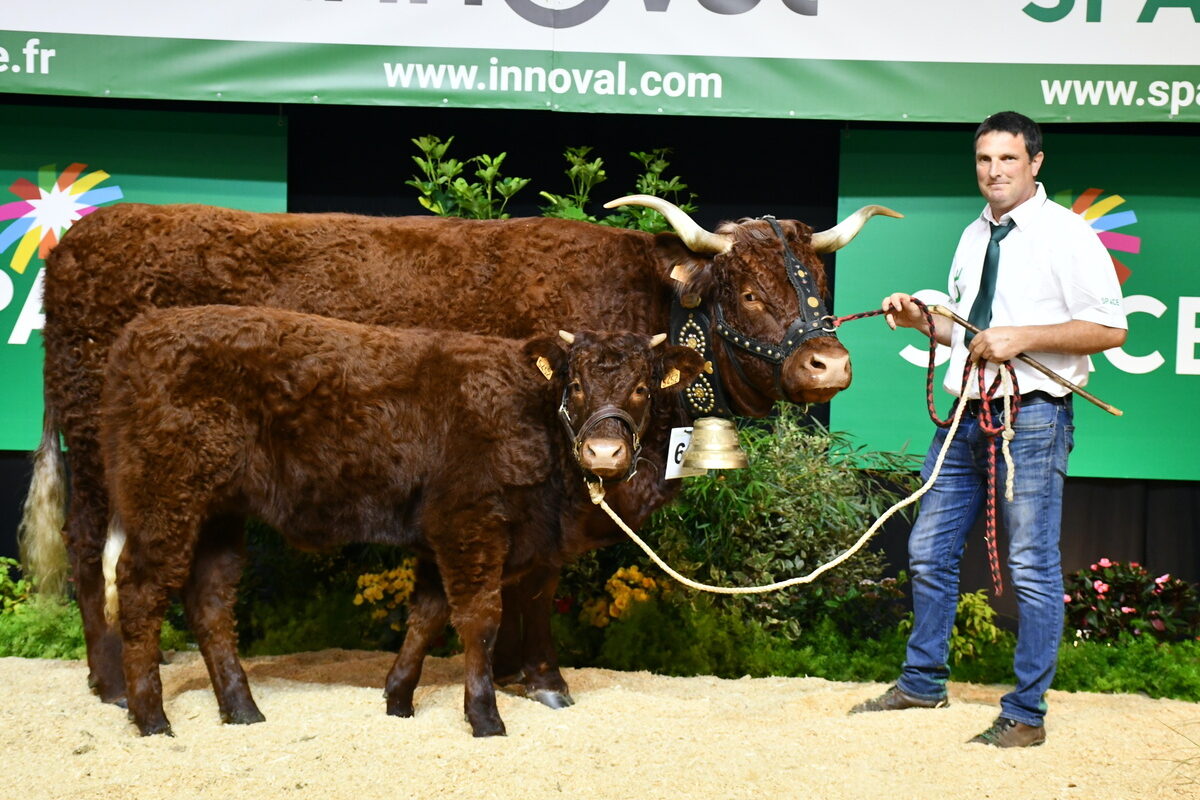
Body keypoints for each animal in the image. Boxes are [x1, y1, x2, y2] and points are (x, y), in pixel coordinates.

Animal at [103, 307, 705, 738]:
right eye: (575, 386)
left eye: (642, 388)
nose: (604, 452)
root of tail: (138, 333)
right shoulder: (470, 523)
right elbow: (479, 619)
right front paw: (484, 717)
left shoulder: (443, 533)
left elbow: (427, 617)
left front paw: (397, 699)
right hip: (164, 499)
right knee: (139, 591)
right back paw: (151, 718)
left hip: (218, 513)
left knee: (210, 600)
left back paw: (241, 709)